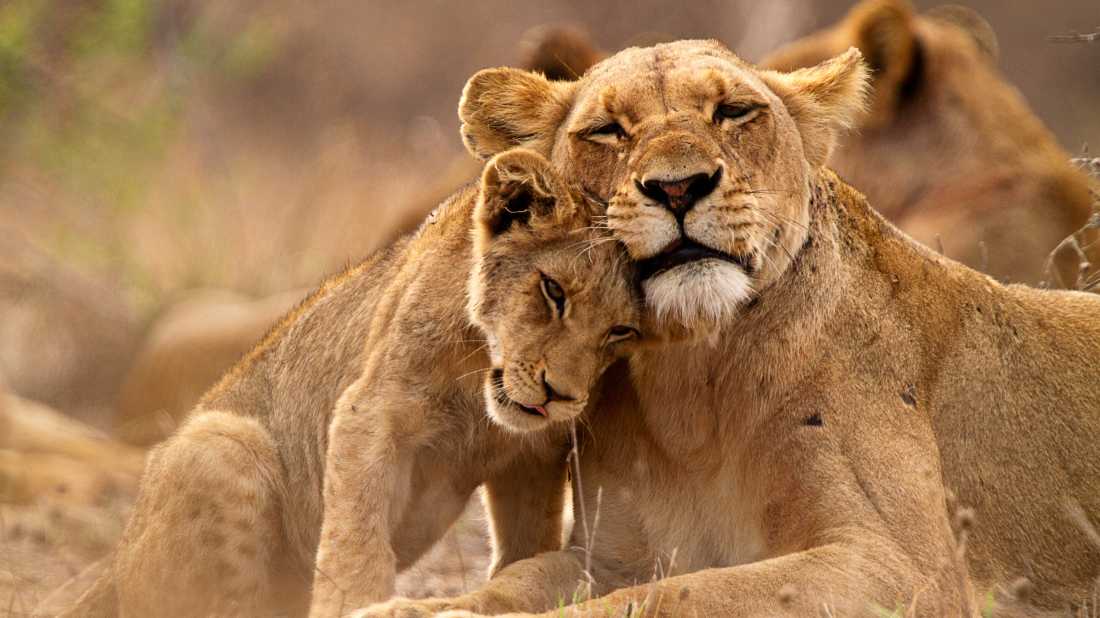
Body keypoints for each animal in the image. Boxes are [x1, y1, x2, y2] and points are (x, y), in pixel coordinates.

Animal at [60, 149, 642, 617]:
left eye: (622, 331)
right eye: (553, 291)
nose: (559, 396)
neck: (479, 381)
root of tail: (116, 560)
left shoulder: (533, 455)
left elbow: (527, 543)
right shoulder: (370, 411)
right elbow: (356, 541)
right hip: (221, 443)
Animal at [358, 40, 1100, 618]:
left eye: (735, 112)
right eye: (608, 130)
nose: (678, 187)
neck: (694, 384)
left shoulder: (907, 569)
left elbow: (677, 594)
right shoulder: (611, 555)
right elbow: (518, 580)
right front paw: (411, 606)